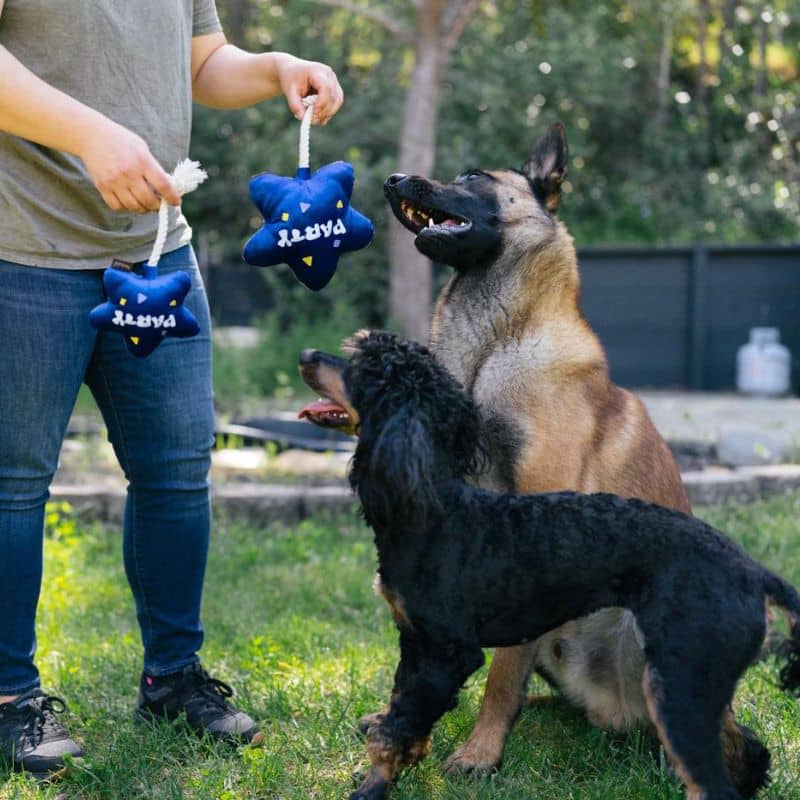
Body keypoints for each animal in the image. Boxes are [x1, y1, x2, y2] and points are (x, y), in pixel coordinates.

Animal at [298, 330, 800, 800]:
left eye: (364, 367)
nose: (305, 355)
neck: (435, 508)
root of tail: (754, 574)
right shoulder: (415, 642)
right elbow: (402, 717)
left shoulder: (448, 652)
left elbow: (396, 730)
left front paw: (372, 787)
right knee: (745, 748)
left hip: (677, 681)